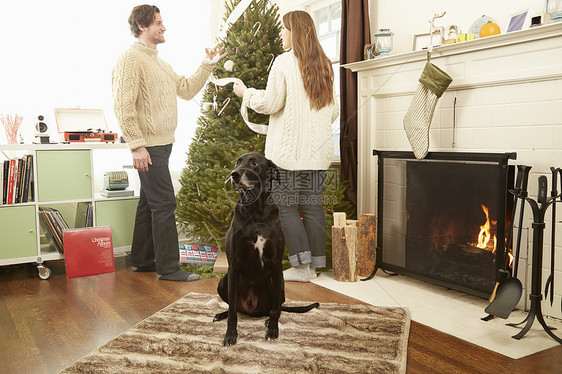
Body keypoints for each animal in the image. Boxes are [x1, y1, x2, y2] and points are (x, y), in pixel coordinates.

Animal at [214, 153, 318, 348]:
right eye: (237, 162)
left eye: (254, 162)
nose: (234, 174)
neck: (256, 211)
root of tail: (251, 310)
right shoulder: (233, 266)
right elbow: (232, 312)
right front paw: (230, 335)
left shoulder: (276, 264)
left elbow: (276, 310)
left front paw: (272, 331)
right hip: (224, 280)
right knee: (234, 307)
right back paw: (220, 315)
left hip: (278, 283)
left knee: (275, 308)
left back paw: (268, 320)